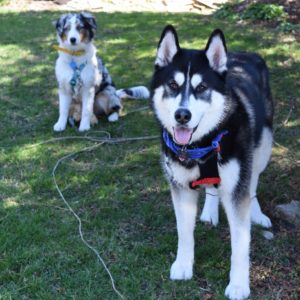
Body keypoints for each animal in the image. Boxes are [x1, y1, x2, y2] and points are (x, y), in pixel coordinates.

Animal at [150, 24, 274, 298]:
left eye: (201, 87)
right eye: (172, 84)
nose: (182, 115)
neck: (201, 144)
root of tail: (247, 54)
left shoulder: (237, 189)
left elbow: (240, 245)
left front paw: (238, 284)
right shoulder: (180, 188)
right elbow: (184, 232)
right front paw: (183, 265)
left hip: (262, 149)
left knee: (253, 183)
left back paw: (257, 213)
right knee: (213, 186)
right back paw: (209, 211)